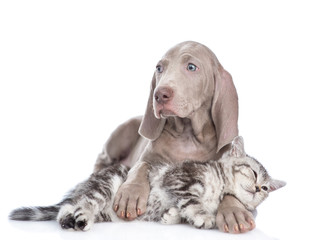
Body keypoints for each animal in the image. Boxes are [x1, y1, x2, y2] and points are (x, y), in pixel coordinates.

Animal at [9, 137, 286, 231]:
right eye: (253, 172)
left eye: (266, 189)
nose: (258, 189)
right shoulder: (179, 178)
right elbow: (192, 200)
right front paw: (202, 216)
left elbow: (181, 209)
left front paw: (172, 216)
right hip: (107, 184)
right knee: (84, 202)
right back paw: (81, 219)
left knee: (69, 207)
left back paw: (70, 219)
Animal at [93, 40, 255, 232]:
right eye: (159, 68)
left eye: (191, 67)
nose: (160, 94)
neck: (188, 135)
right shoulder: (146, 158)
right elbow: (140, 166)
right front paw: (130, 194)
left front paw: (234, 211)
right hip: (122, 134)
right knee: (102, 157)